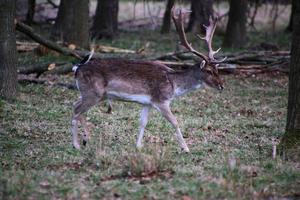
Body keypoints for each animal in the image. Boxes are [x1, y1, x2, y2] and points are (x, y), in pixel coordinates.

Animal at [70, 8, 225, 152]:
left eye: (217, 69)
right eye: (209, 71)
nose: (222, 86)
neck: (174, 85)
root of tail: (77, 68)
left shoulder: (147, 103)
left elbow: (143, 122)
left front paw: (138, 146)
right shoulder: (161, 100)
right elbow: (175, 122)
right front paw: (186, 148)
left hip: (92, 94)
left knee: (75, 105)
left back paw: (83, 140)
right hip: (93, 93)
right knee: (77, 111)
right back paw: (78, 143)